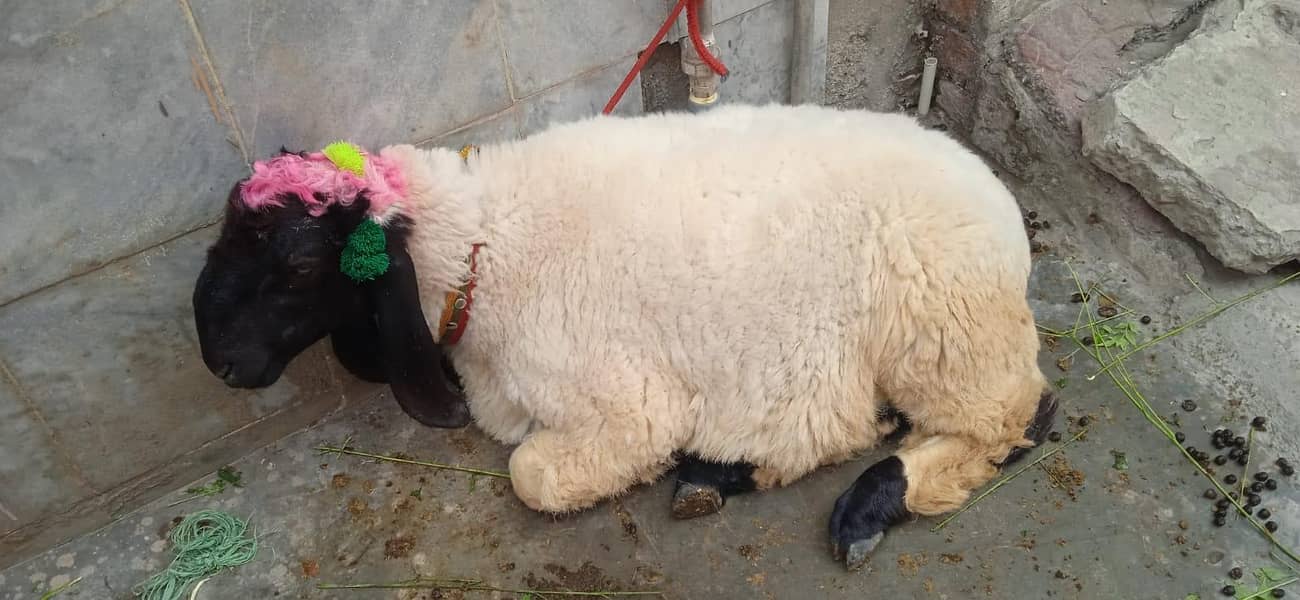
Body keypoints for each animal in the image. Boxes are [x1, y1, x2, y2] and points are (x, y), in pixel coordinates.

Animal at [192, 103, 1056, 569]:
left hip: (947, 332)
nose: (221, 363)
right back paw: (730, 471)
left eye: (300, 264)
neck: (484, 246)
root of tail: (997, 201)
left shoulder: (626, 408)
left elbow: (533, 476)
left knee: (1015, 419)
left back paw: (864, 509)